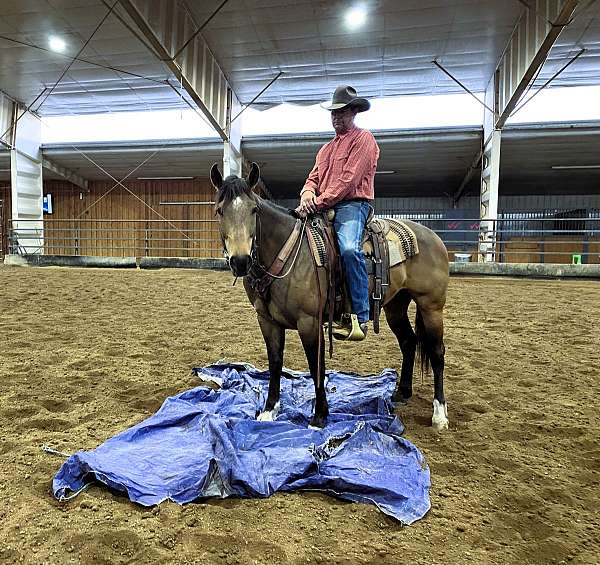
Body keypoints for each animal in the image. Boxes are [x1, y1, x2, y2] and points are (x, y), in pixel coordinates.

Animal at [209, 161, 448, 430]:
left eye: (254, 210)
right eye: (220, 210)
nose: (240, 261)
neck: (286, 251)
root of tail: (433, 237)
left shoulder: (309, 322)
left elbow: (316, 366)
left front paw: (320, 416)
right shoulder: (267, 321)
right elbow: (275, 361)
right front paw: (270, 410)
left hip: (431, 306)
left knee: (437, 352)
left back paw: (439, 414)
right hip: (396, 304)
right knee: (408, 341)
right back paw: (401, 392)